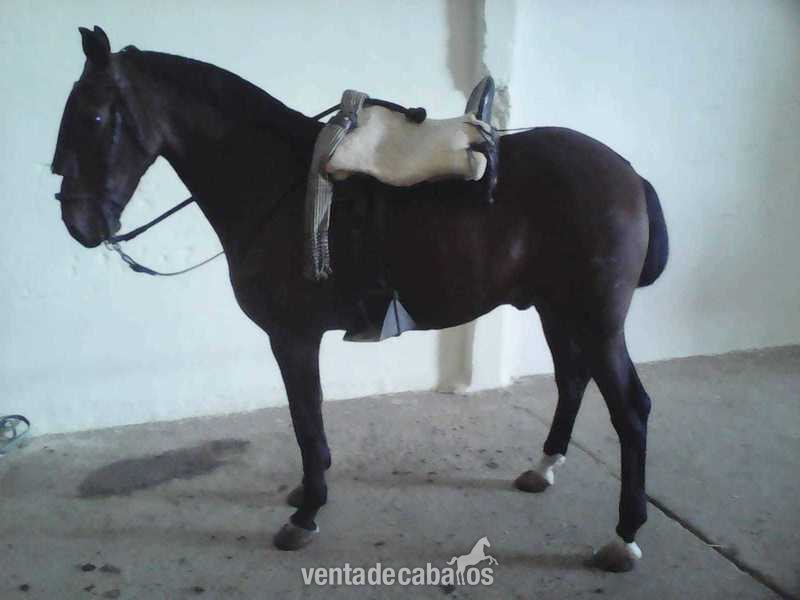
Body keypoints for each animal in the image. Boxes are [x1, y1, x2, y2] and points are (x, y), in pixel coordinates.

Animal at [51, 27, 668, 573]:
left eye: (95, 117)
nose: (79, 225)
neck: (277, 185)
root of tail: (630, 174)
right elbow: (310, 419)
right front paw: (308, 488)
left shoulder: (293, 337)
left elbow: (306, 418)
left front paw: (306, 513)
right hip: (556, 310)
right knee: (572, 381)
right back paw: (543, 469)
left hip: (596, 321)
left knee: (630, 411)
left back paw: (624, 538)